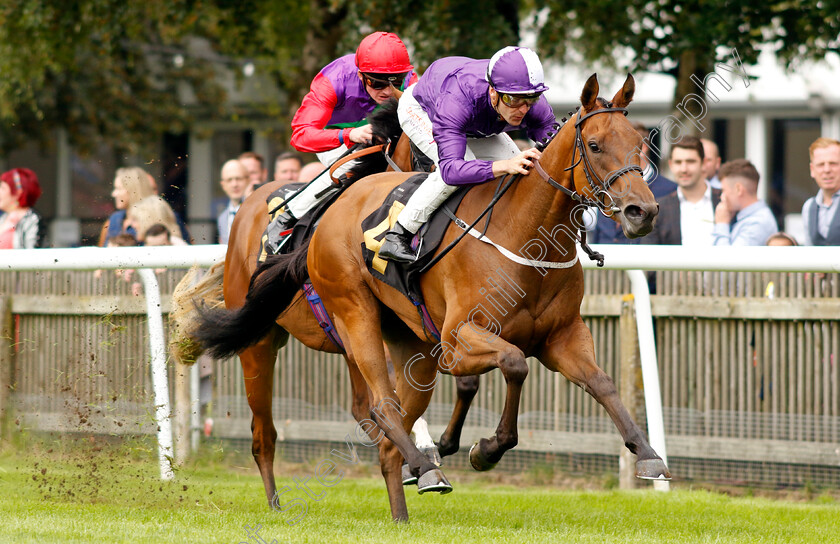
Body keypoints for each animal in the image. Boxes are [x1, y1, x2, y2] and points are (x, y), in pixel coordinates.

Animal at [190, 74, 668, 520]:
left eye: (641, 144)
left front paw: (648, 455)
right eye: (595, 144)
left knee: (383, 425)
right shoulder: (457, 340)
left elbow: (603, 383)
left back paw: (406, 500)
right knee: (317, 422)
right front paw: (486, 449)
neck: (526, 235)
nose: (642, 212)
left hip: (409, 346)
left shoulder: (562, 337)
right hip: (320, 326)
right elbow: (514, 363)